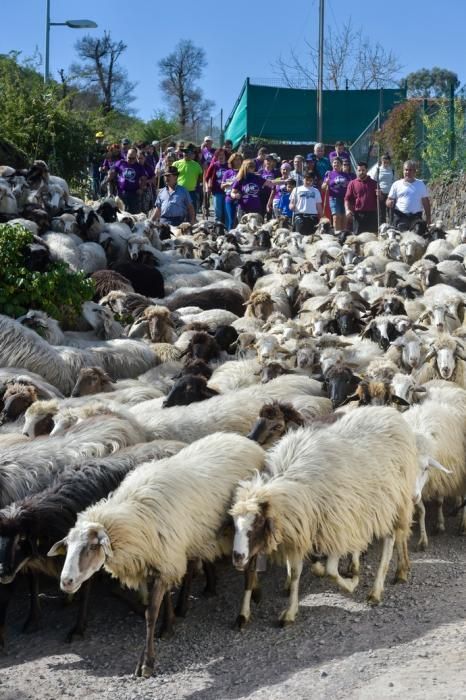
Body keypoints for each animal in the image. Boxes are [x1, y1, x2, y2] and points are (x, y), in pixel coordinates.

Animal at [231, 404, 416, 628]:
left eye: (257, 523)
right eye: (234, 524)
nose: (237, 557)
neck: (295, 483)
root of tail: (387, 411)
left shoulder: (334, 527)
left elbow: (330, 570)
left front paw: (351, 584)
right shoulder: (302, 530)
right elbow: (296, 573)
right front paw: (290, 611)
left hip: (392, 501)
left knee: (390, 540)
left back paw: (377, 590)